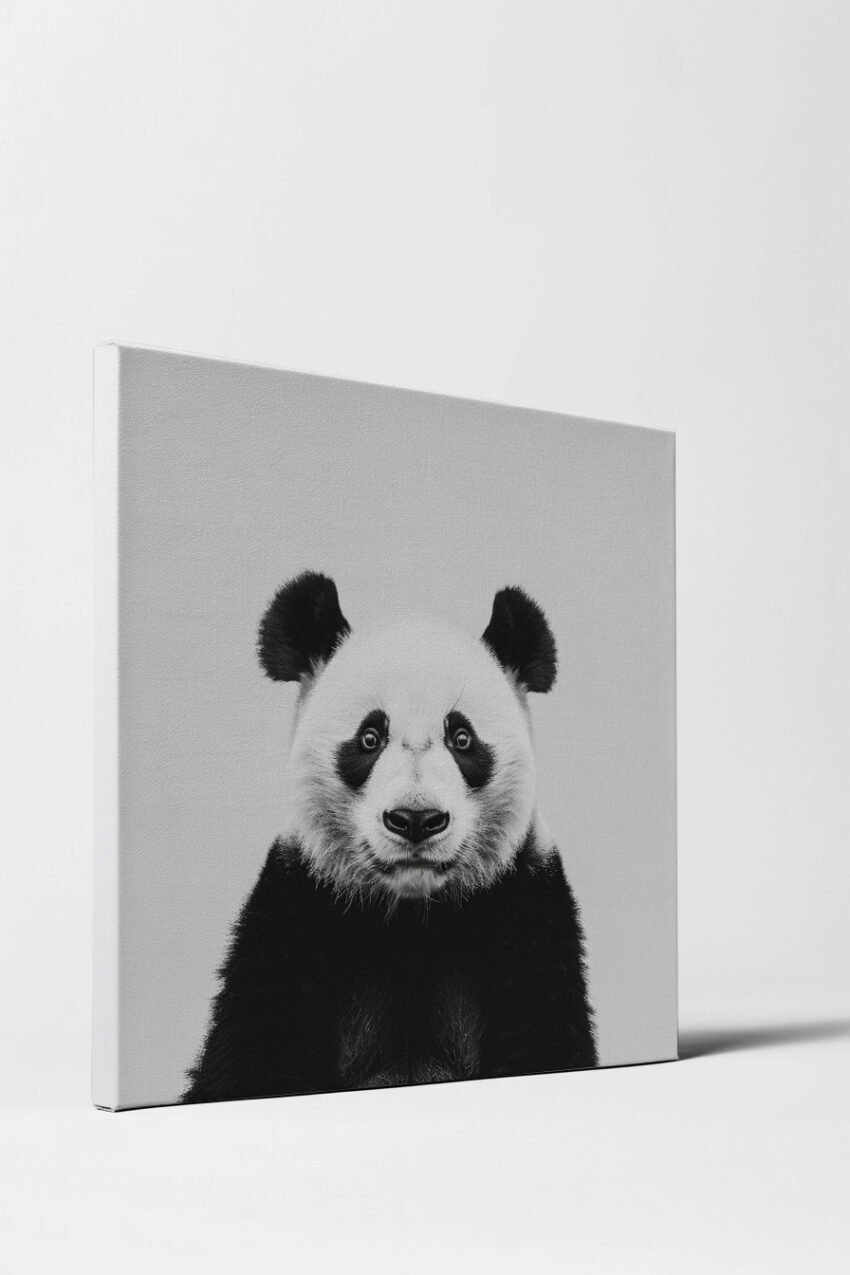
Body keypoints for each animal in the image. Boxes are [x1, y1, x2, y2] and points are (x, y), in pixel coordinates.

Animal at [183, 571, 597, 1103]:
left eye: (462, 738)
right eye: (369, 738)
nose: (416, 819)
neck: (410, 919)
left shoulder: (526, 911)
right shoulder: (294, 913)